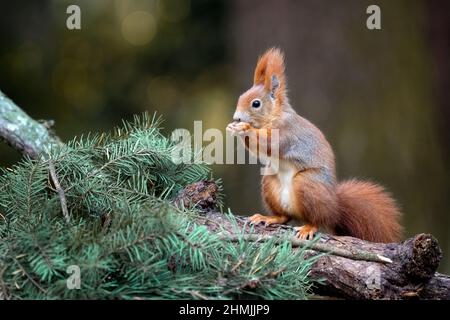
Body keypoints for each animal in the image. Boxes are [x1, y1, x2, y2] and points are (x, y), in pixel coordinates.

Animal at [227, 47, 402, 242]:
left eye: (256, 104)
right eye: (241, 97)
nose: (236, 118)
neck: (274, 116)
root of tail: (335, 207)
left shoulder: (287, 132)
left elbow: (271, 143)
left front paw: (245, 128)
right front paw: (233, 127)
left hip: (307, 184)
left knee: (318, 219)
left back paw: (308, 228)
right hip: (269, 181)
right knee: (285, 217)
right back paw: (269, 218)